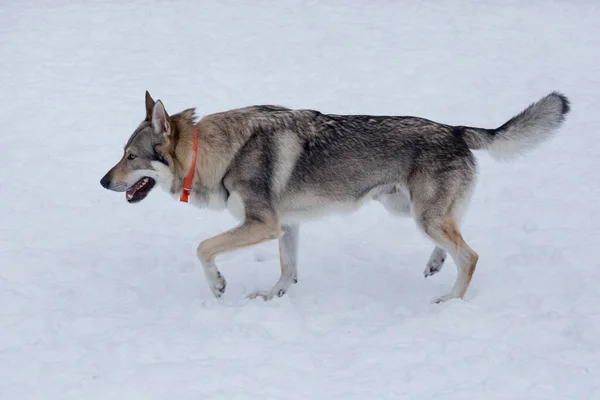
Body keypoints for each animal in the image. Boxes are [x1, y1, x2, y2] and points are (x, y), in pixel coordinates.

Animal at [99, 91, 572, 304]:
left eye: (130, 157)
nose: (103, 182)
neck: (218, 153)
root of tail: (456, 129)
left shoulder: (262, 224)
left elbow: (202, 247)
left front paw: (218, 286)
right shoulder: (285, 225)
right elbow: (288, 269)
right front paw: (272, 297)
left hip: (421, 216)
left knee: (470, 256)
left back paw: (449, 302)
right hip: (409, 211)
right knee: (454, 242)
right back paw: (435, 264)